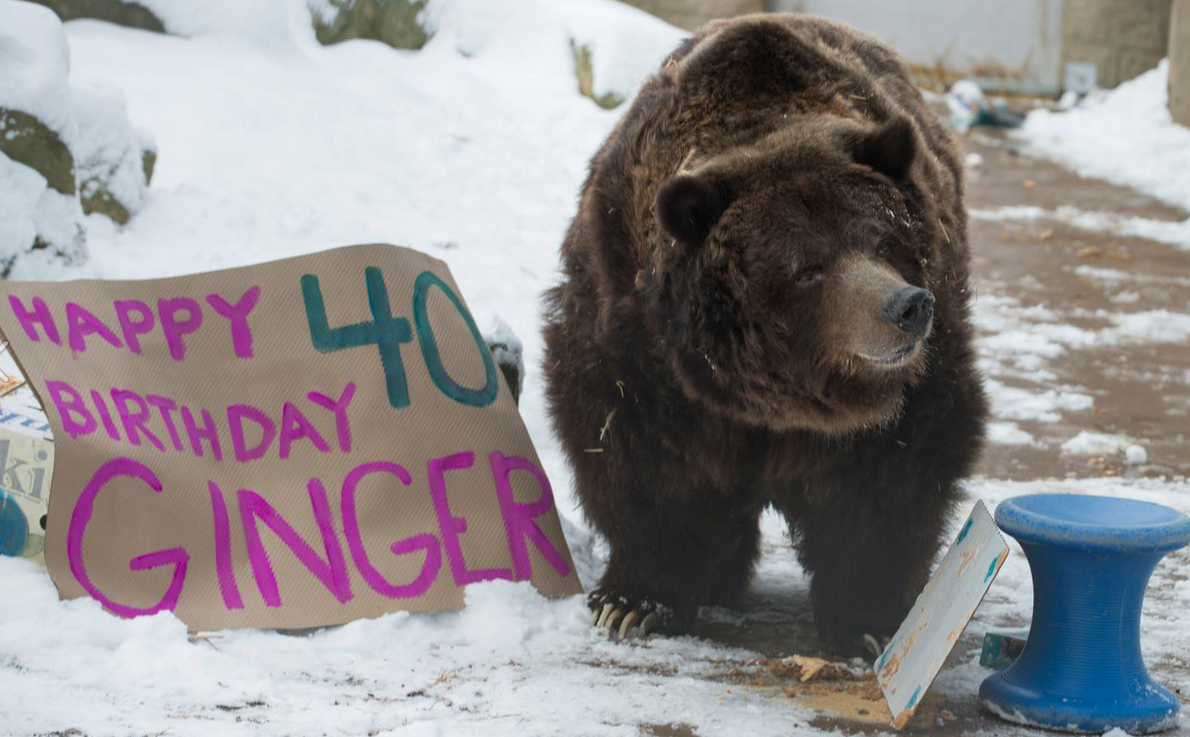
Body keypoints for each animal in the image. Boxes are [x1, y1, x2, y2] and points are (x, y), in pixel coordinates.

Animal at [542, 13, 987, 653]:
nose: (906, 306)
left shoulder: (915, 381)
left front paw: (870, 621)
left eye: (883, 240)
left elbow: (889, 480)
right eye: (808, 267)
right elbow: (640, 459)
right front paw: (634, 602)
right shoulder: (638, 343)